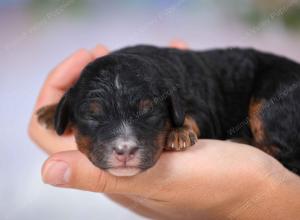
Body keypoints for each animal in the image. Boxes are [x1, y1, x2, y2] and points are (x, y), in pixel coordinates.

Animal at [37, 45, 300, 176]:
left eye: (149, 112)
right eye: (92, 115)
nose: (125, 150)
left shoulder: (203, 110)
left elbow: (192, 116)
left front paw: (179, 132)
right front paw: (50, 111)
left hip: (270, 99)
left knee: (284, 152)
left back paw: (241, 141)